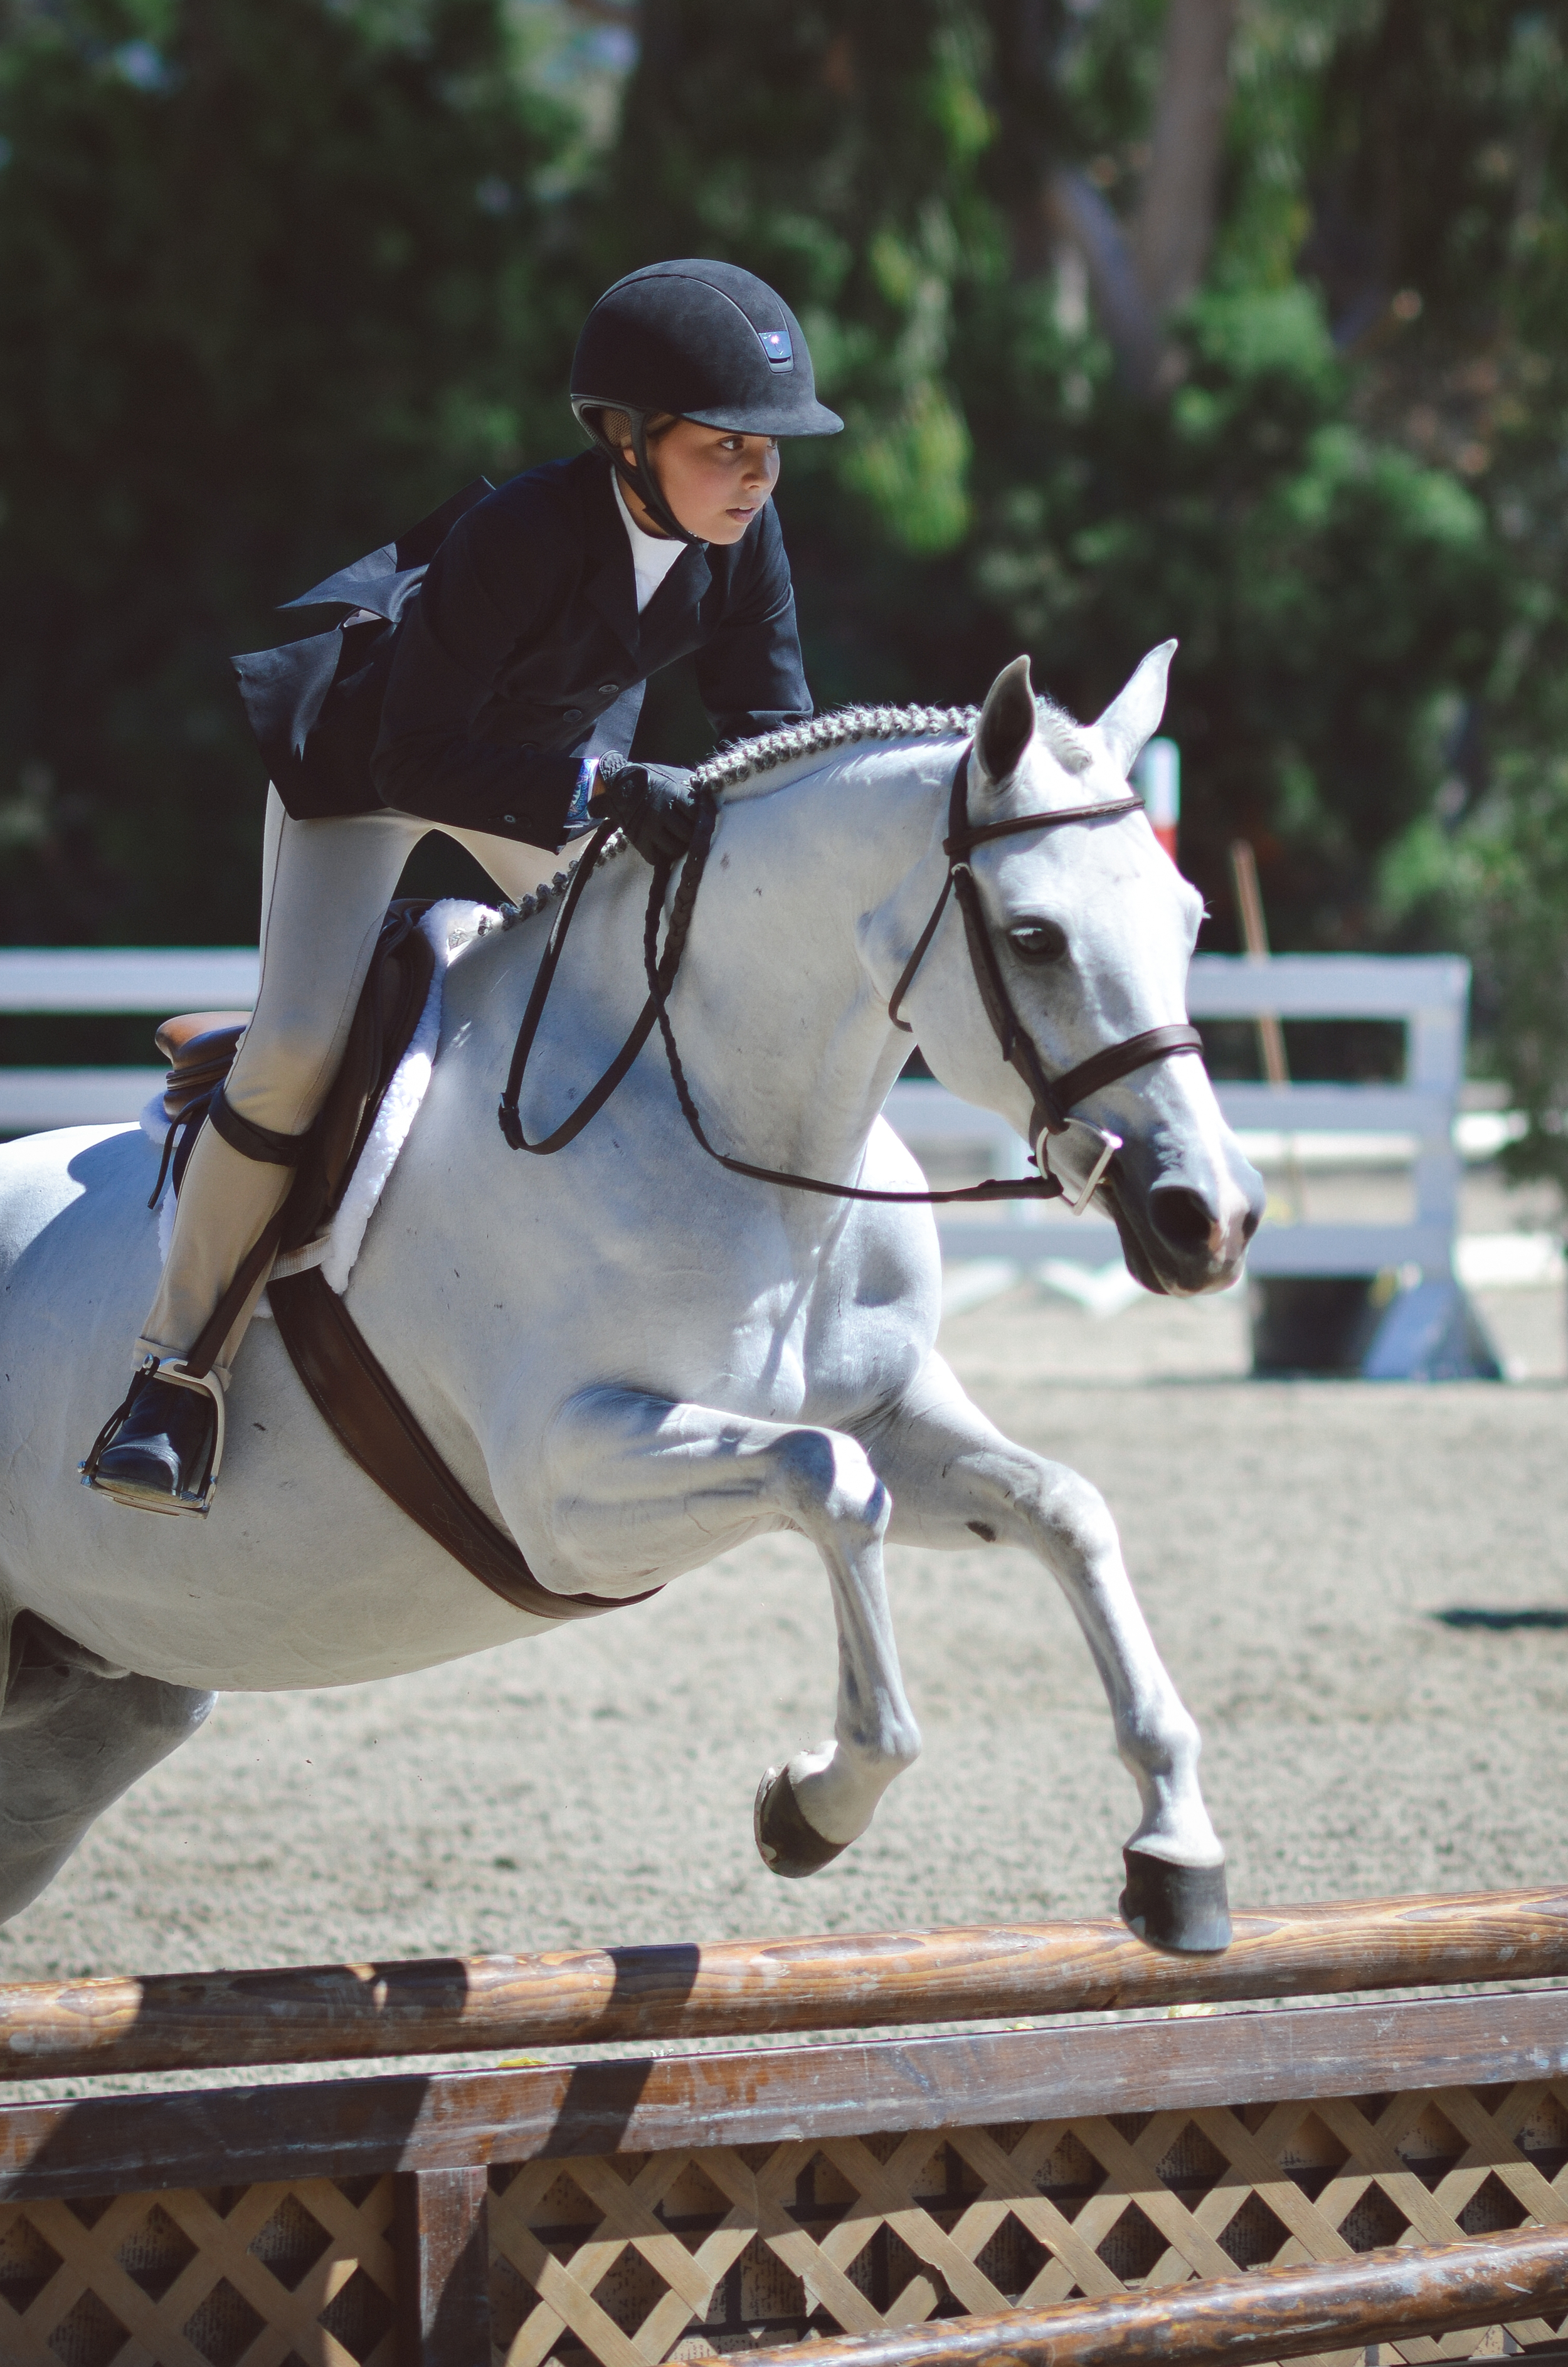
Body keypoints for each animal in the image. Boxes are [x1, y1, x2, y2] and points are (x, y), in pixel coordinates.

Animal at [0, 649, 1269, 1941]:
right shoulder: (565, 1485)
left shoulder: (891, 1412)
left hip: (96, 1712)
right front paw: (812, 1803)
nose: (1207, 1217)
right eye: (1035, 935)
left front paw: (1177, 1847)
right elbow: (829, 1482)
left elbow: (1061, 1503)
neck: (741, 1141)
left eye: (1191, 920)